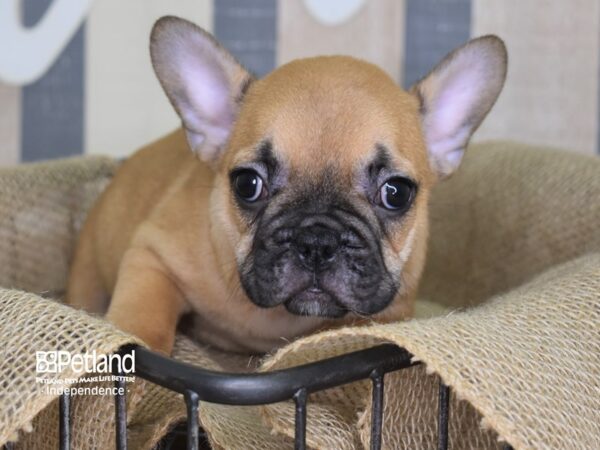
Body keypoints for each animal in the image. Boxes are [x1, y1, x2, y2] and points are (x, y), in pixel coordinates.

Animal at [65, 16, 506, 356]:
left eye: (396, 193)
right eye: (248, 184)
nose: (317, 242)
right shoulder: (152, 256)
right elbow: (142, 319)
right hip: (88, 273)